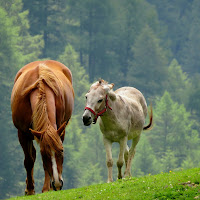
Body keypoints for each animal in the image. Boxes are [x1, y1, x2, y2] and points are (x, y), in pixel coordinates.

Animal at [10, 60, 74, 195]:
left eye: (62, 151)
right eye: (44, 154)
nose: (57, 183)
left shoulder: (59, 130)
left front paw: (46, 188)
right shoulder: (22, 133)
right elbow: (29, 160)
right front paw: (30, 190)